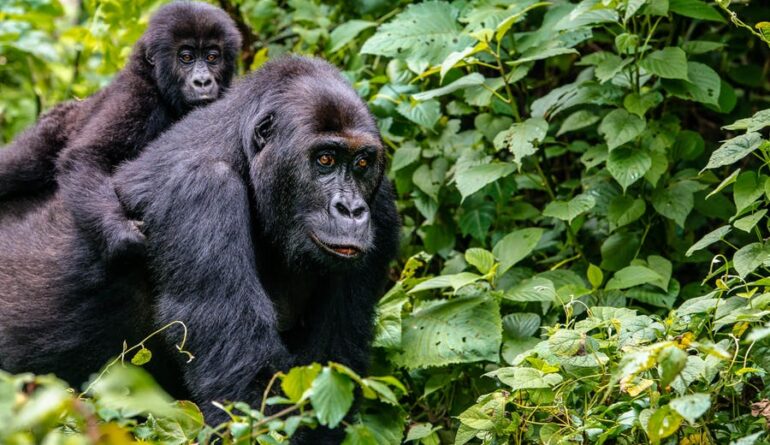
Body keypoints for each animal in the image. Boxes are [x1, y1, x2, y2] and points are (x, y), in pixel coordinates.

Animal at [0, 2, 238, 260]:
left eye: (212, 57)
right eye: (186, 57)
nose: (202, 81)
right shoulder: (136, 96)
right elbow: (86, 156)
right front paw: (120, 231)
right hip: (49, 131)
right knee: (20, 164)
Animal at [0, 56, 396, 434]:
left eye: (362, 163)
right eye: (325, 159)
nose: (351, 210)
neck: (243, 154)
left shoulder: (381, 205)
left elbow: (333, 368)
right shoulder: (202, 189)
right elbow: (246, 389)